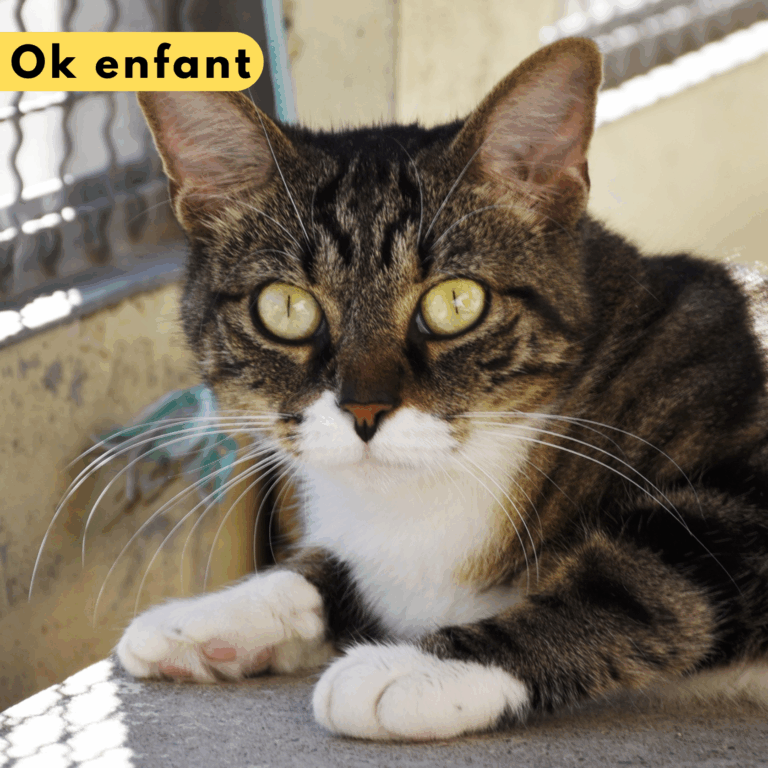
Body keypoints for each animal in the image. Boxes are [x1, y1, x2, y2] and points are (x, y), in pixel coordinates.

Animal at [116, 37, 768, 741]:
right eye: (285, 307)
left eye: (457, 302)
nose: (364, 408)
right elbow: (333, 570)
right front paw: (207, 618)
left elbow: (641, 577)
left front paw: (421, 669)